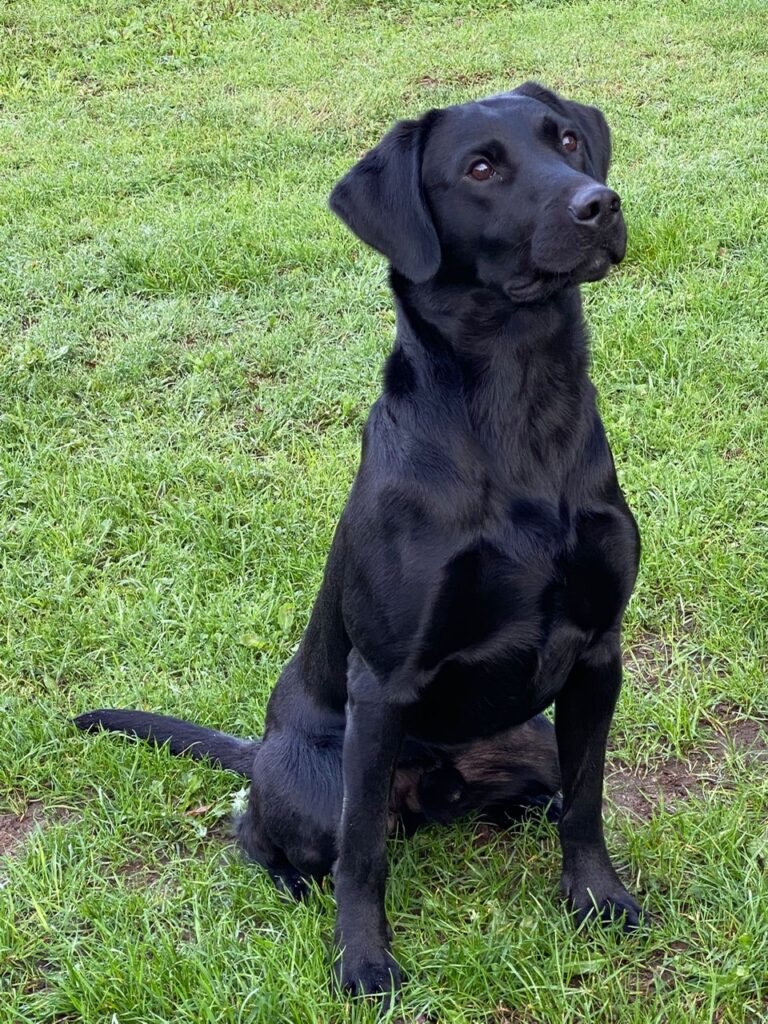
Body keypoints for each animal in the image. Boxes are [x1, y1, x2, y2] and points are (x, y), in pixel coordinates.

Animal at [76, 83, 643, 1003]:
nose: (600, 204)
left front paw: (597, 898)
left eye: (565, 141)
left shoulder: (598, 652)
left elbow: (590, 800)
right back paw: (288, 875)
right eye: (480, 168)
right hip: (318, 780)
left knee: (545, 790)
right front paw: (364, 960)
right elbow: (364, 855)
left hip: (529, 737)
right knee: (273, 833)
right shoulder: (384, 685)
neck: (519, 398)